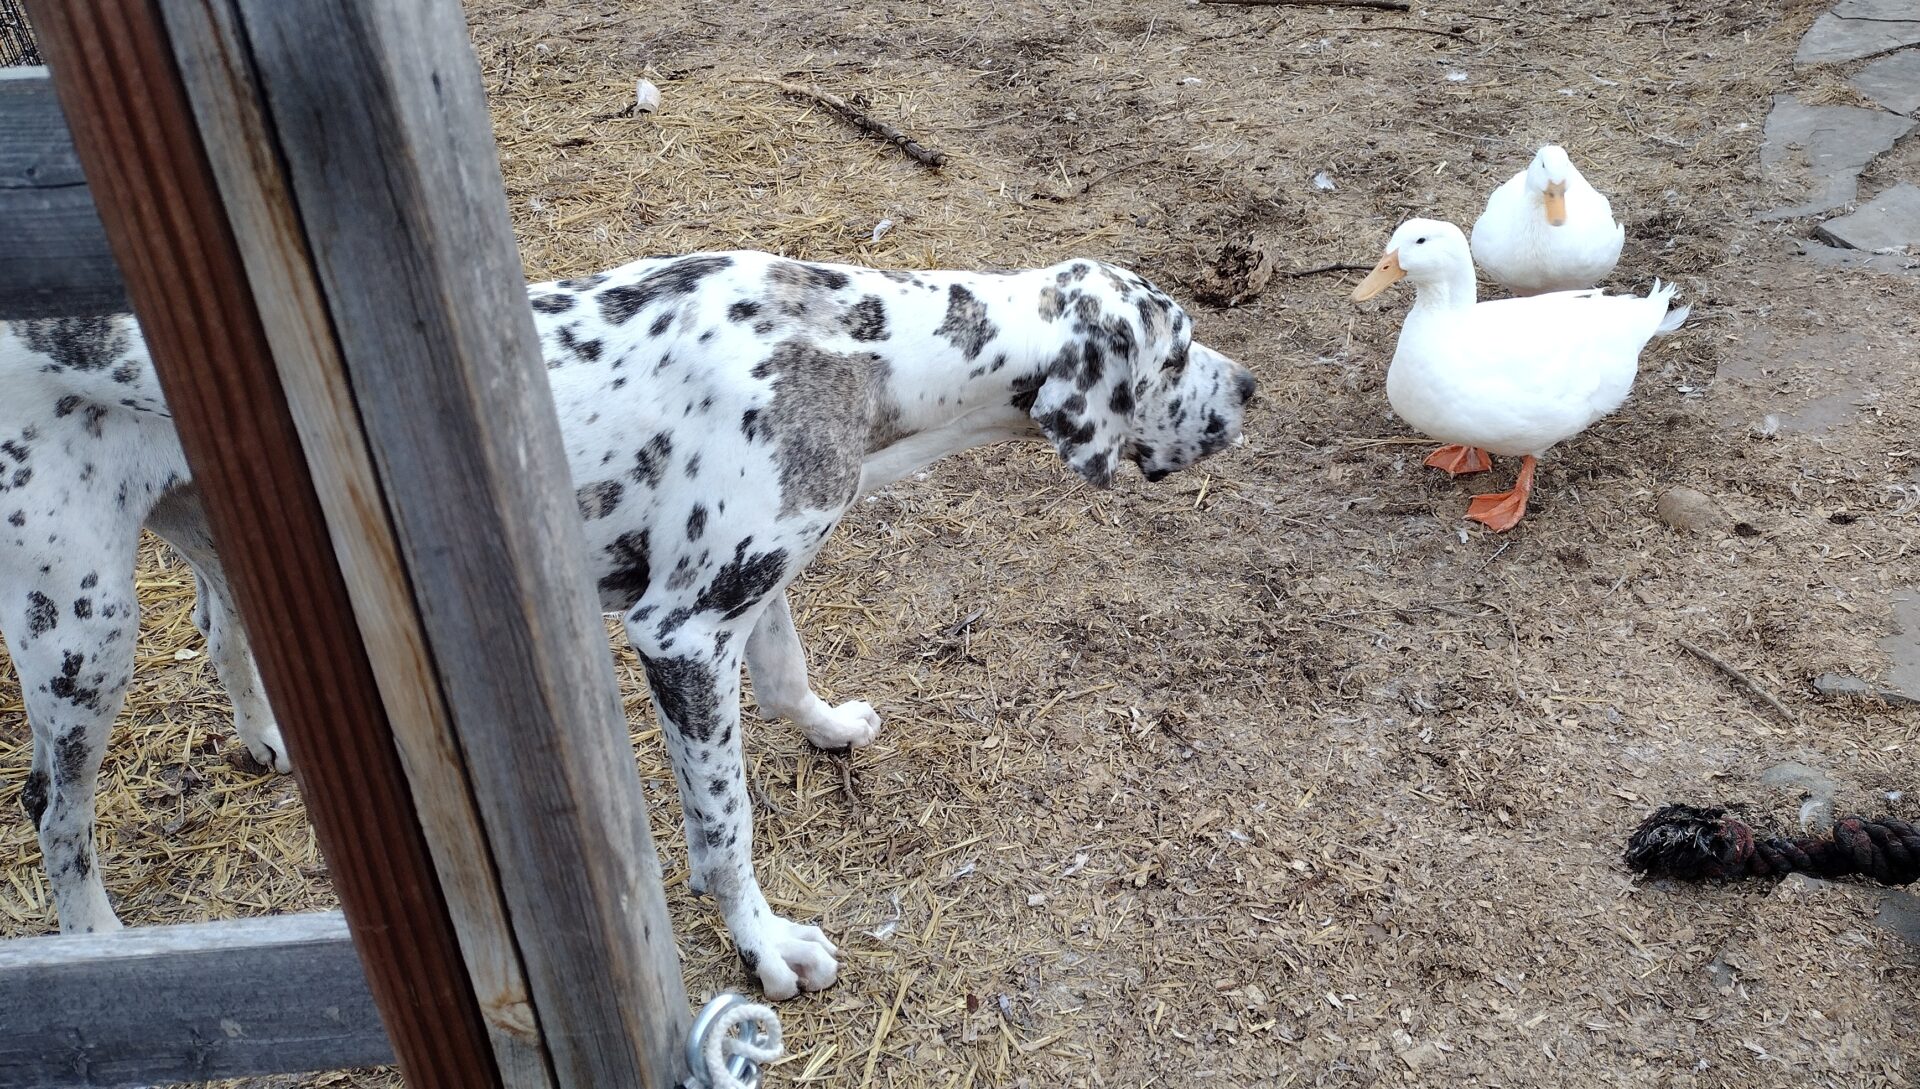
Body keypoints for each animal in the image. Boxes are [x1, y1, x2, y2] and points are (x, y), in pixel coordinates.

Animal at [0, 251, 1251, 998]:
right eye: (1180, 349)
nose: (1251, 393)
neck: (859, 343)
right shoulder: (681, 635)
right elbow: (724, 829)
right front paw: (763, 945)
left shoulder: (754, 585)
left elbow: (789, 674)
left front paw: (828, 729)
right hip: (80, 630)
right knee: (51, 806)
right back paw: (99, 946)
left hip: (207, 541)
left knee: (222, 636)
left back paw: (266, 740)